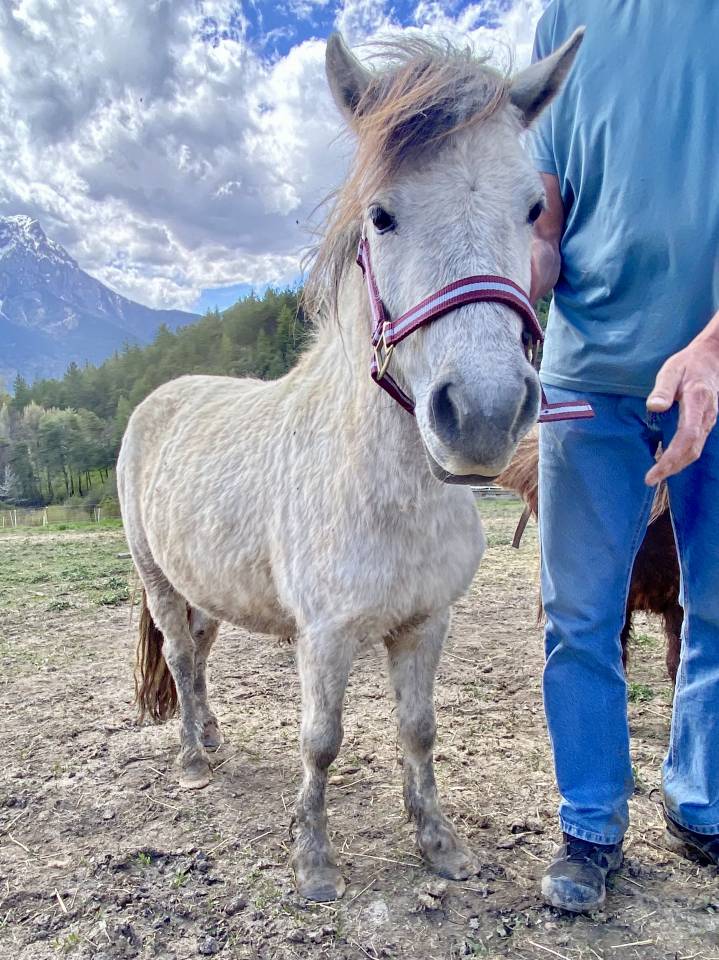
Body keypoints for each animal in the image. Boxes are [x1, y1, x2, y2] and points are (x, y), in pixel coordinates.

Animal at [117, 29, 584, 902]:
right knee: (178, 653)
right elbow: (322, 740)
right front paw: (313, 860)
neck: (382, 489)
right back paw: (194, 758)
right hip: (157, 577)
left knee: (199, 651)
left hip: (207, 585)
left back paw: (214, 737)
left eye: (532, 209)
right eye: (381, 214)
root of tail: (159, 398)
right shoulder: (326, 636)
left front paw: (438, 844)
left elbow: (418, 729)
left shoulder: (427, 622)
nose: (482, 414)